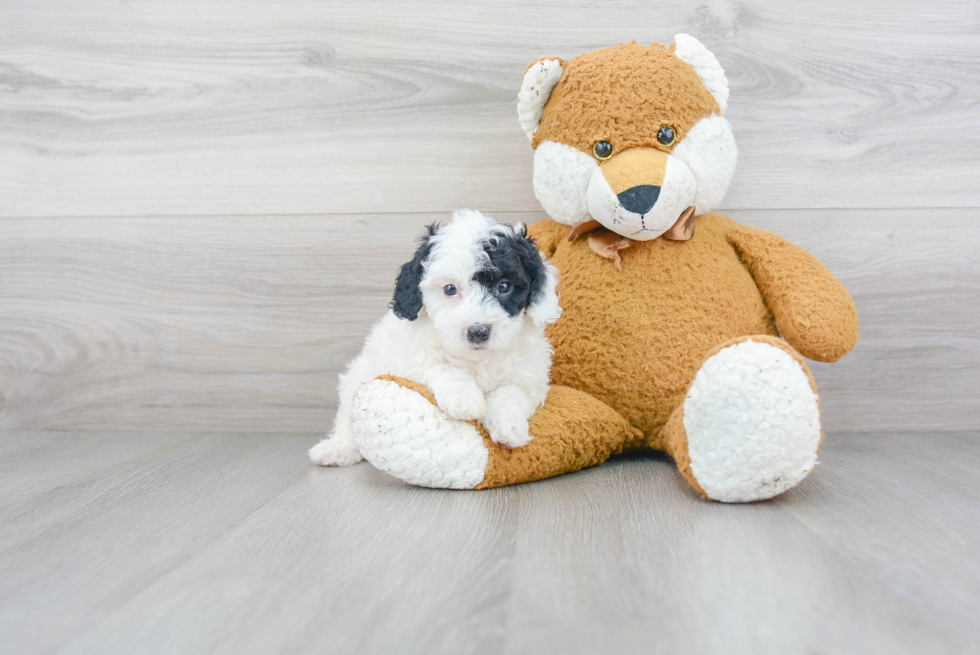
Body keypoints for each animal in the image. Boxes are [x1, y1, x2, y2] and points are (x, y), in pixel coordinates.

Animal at [310, 209, 564, 466]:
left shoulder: (528, 375)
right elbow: (444, 368)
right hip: (358, 375)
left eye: (504, 286)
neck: (477, 360)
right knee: (347, 418)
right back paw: (337, 449)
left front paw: (509, 427)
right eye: (450, 289)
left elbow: (511, 392)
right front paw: (464, 400)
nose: (478, 331)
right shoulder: (414, 359)